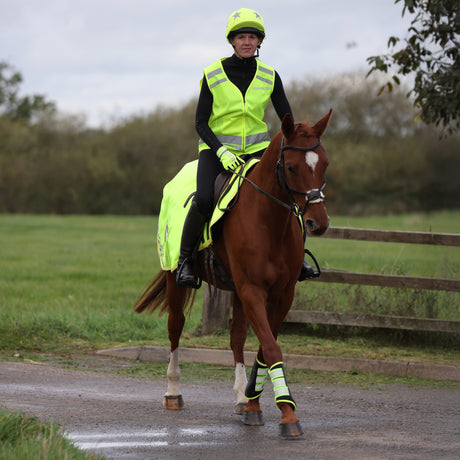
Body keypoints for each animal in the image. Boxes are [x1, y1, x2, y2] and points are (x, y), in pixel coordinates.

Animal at [133, 109, 330, 436]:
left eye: (324, 163)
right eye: (291, 167)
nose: (319, 222)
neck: (269, 221)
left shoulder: (282, 294)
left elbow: (263, 347)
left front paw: (253, 402)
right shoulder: (252, 289)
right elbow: (271, 348)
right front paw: (288, 414)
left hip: (236, 291)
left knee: (236, 337)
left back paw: (240, 397)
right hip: (176, 279)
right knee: (176, 327)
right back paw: (173, 392)